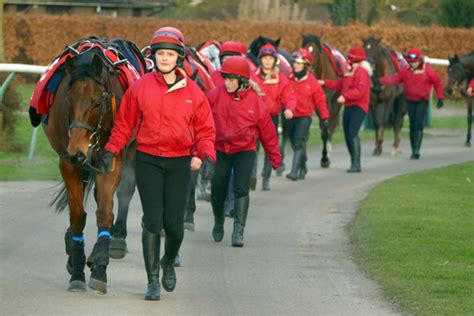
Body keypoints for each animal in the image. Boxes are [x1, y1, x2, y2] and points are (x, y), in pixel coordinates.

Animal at [42, 39, 143, 294]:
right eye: (68, 101)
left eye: (97, 103)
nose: (78, 151)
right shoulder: (68, 162)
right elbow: (77, 215)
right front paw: (77, 268)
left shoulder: (111, 158)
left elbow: (104, 210)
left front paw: (99, 268)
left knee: (123, 191)